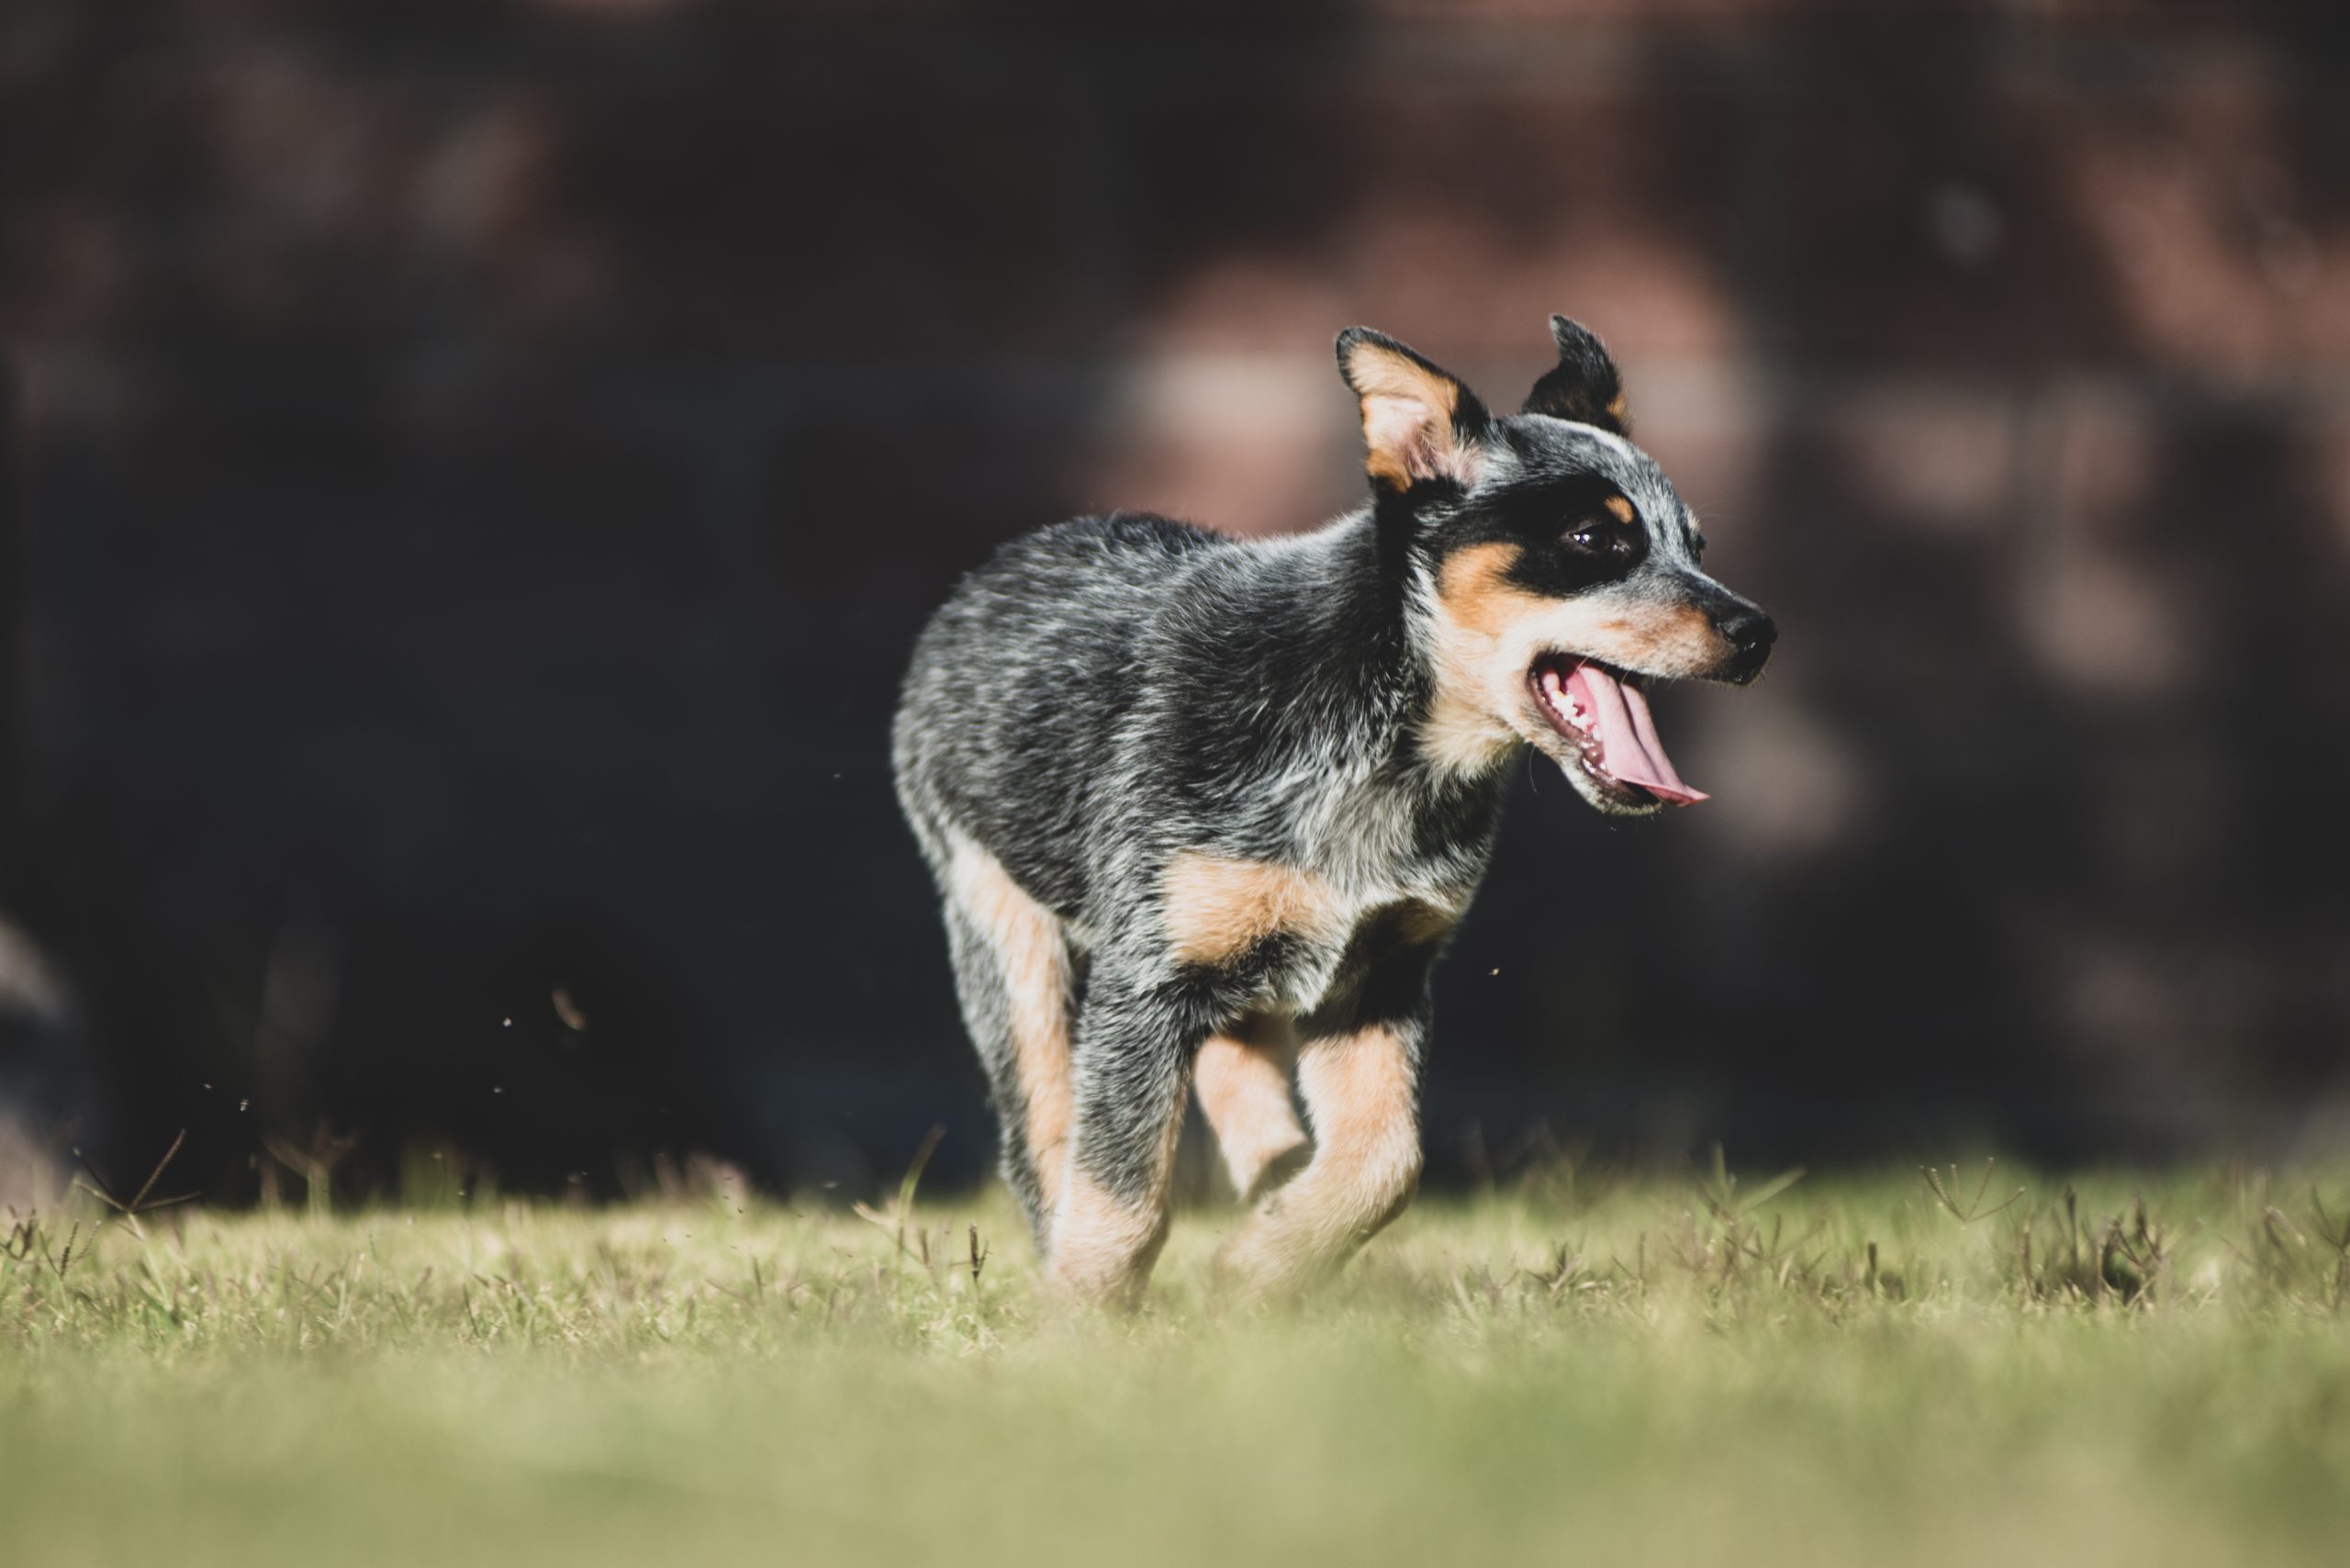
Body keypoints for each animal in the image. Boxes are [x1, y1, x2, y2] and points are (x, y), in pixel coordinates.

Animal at [888, 315, 1767, 1297]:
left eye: (1695, 547)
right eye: (1590, 539)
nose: (1758, 633)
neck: (1383, 744)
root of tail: (988, 575)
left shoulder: (1379, 971)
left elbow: (1385, 1163)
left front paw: (1262, 1264)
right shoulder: (1148, 979)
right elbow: (1119, 1195)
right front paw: (1088, 1317)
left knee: (1243, 1081)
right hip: (1007, 936)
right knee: (1042, 1132)